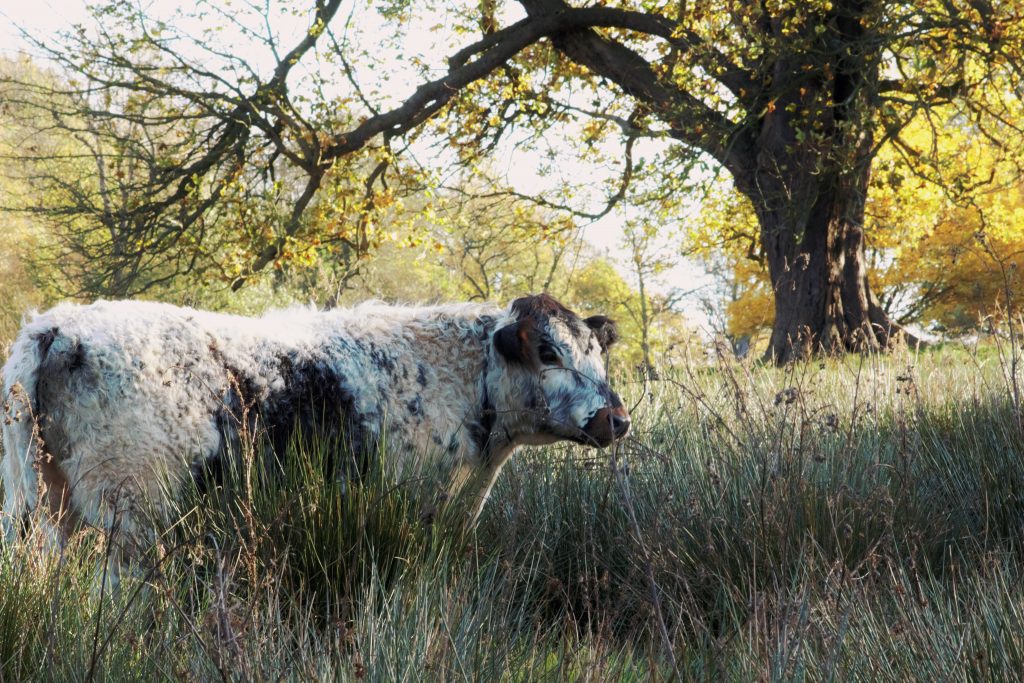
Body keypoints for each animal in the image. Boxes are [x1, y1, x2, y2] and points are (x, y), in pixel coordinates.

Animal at [0, 294, 626, 565]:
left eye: (599, 353)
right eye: (548, 352)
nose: (616, 419)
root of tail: (56, 327)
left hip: (43, 501)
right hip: (130, 503)